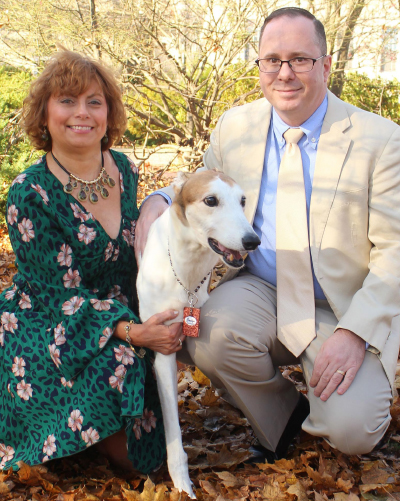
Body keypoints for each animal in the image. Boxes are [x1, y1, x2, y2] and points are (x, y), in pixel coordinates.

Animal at [138, 171, 260, 496]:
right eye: (210, 200)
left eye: (243, 200)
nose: (253, 241)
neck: (187, 272)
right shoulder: (163, 348)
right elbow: (173, 431)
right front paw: (182, 486)